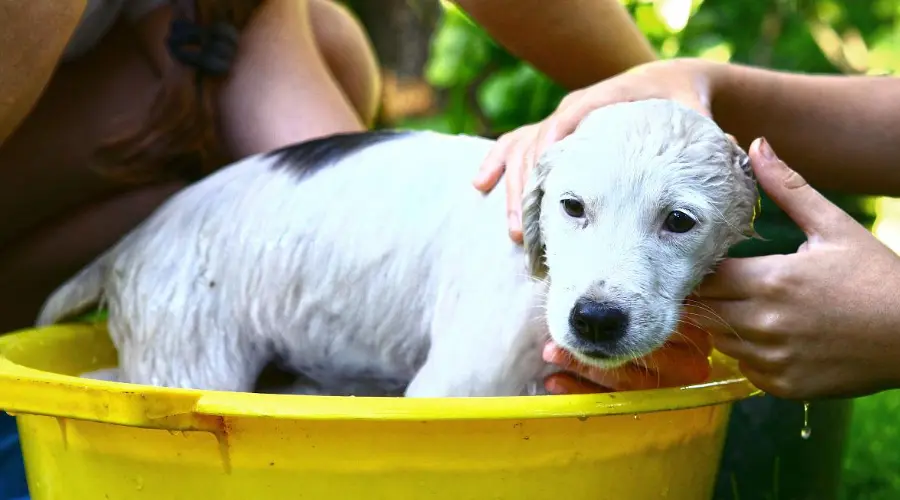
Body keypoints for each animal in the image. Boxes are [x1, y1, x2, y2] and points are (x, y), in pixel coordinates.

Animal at [35, 99, 756, 396]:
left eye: (679, 222)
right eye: (572, 208)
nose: (596, 321)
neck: (544, 276)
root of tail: (137, 239)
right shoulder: (456, 385)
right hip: (189, 356)